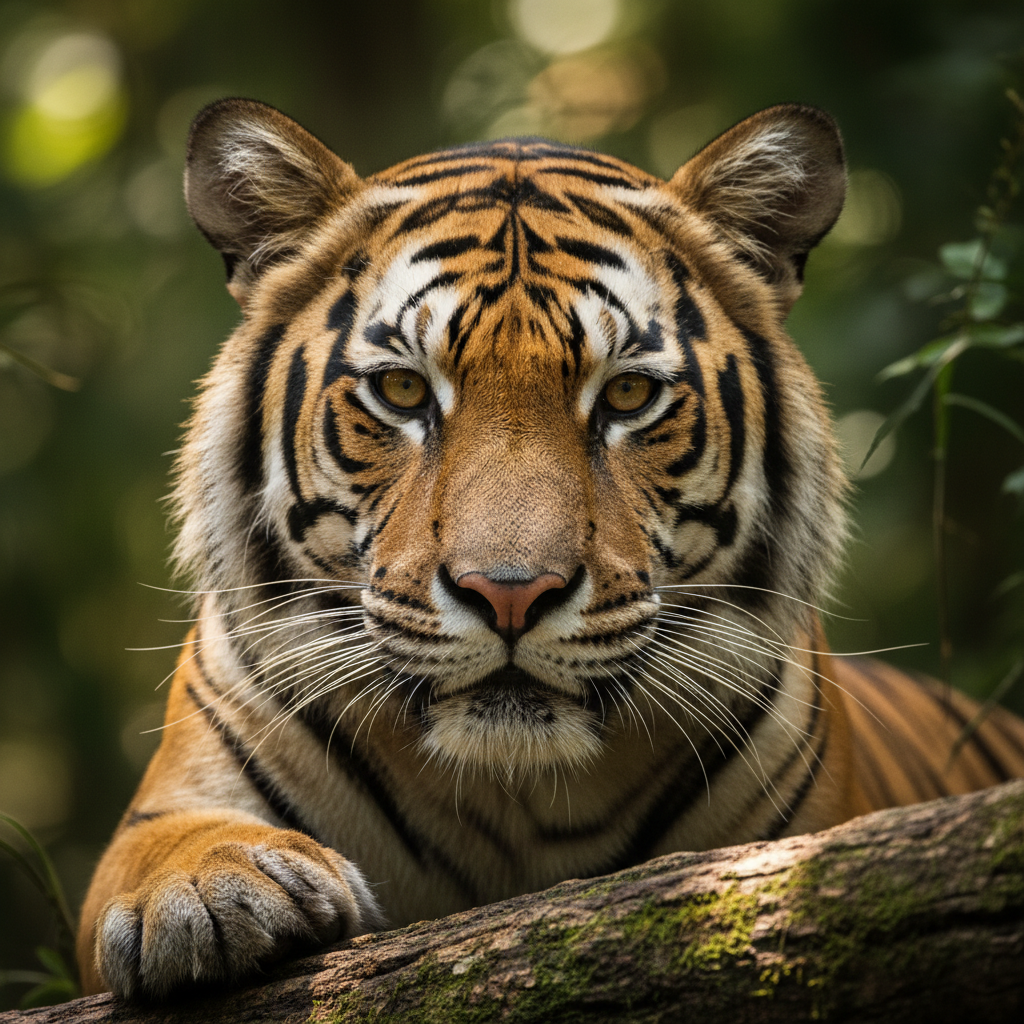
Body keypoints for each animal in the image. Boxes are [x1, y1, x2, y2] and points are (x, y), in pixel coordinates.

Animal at [76, 99, 1024, 999]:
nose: (509, 594)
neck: (515, 793)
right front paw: (207, 894)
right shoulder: (171, 797)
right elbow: (158, 847)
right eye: (402, 389)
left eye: (630, 395)